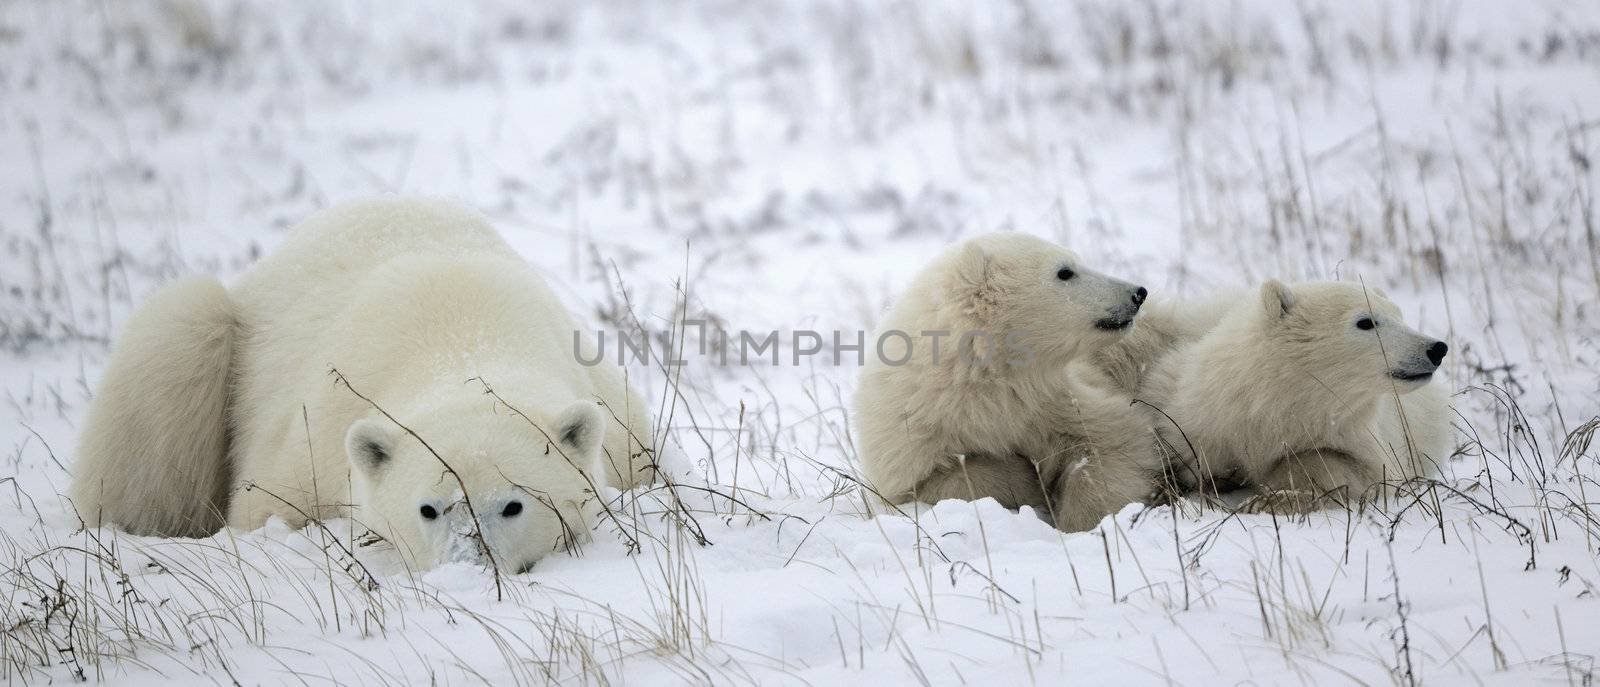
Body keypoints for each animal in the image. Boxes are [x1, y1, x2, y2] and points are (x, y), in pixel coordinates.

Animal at [68, 197, 656, 573]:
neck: (465, 336)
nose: (469, 566)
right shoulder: (314, 437)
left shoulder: (617, 417)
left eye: (514, 505)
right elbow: (267, 509)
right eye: (428, 508)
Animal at [857, 232, 1171, 531]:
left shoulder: (1055, 400)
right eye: (1065, 272)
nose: (1138, 293)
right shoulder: (913, 430)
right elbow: (935, 483)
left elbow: (1114, 439)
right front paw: (1025, 479)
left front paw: (1085, 524)